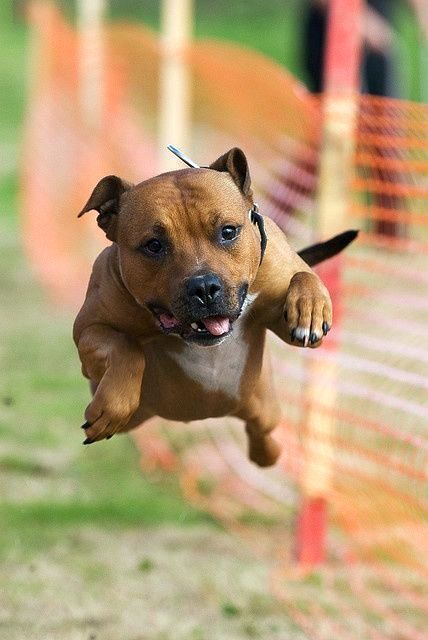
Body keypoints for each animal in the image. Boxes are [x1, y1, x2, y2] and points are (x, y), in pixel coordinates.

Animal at [72, 150, 354, 470]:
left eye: (228, 231)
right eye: (154, 245)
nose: (204, 286)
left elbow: (303, 275)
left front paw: (311, 309)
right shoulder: (88, 331)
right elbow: (125, 347)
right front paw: (113, 407)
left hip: (263, 406)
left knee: (262, 433)